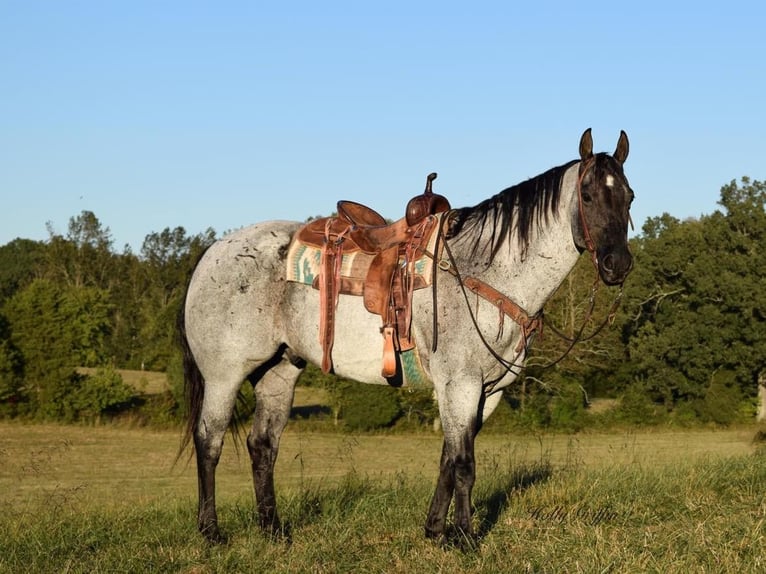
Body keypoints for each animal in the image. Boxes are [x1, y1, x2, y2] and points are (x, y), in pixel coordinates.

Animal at [178, 128, 636, 548]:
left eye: (629, 197)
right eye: (588, 196)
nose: (618, 265)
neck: (483, 273)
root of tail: (213, 252)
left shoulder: (487, 391)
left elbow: (449, 459)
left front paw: (435, 530)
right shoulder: (460, 384)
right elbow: (464, 463)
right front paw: (464, 538)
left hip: (280, 371)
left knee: (262, 445)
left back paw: (273, 531)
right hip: (224, 375)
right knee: (210, 441)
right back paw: (210, 532)